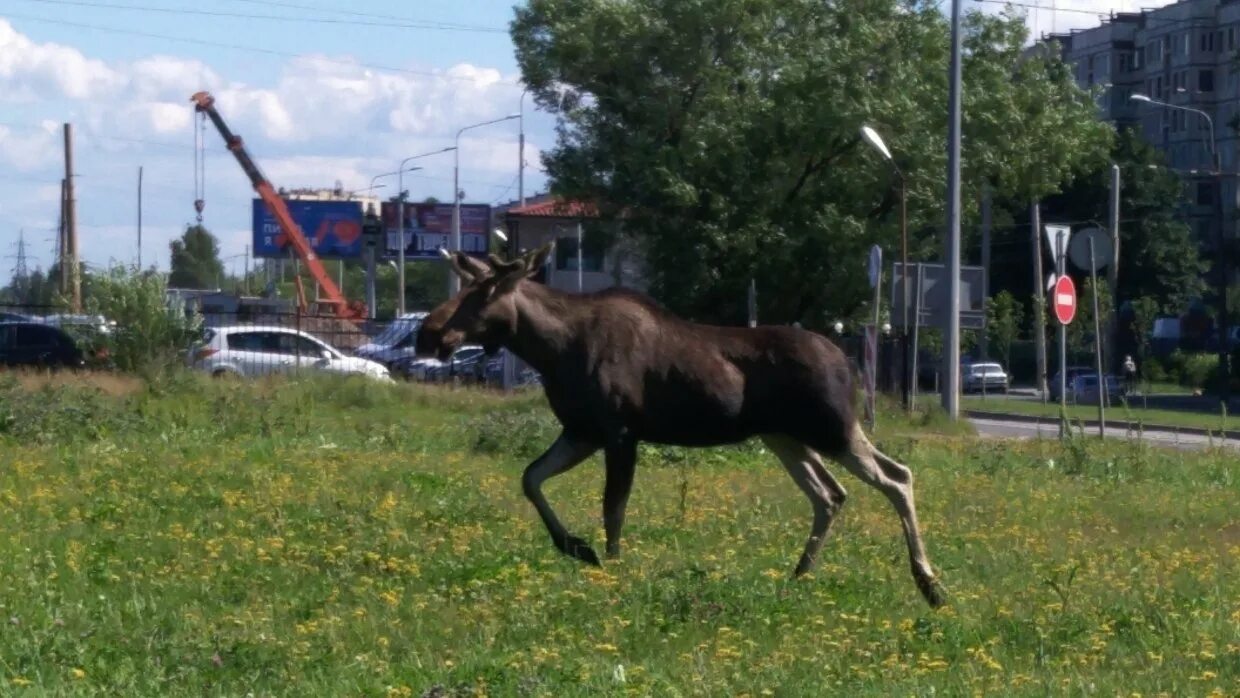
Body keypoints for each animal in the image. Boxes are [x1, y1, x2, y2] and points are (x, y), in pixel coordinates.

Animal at [421, 244, 942, 607]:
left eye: (485, 292)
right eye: (462, 287)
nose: (429, 332)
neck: (550, 351)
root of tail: (848, 361)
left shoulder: (619, 431)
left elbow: (613, 508)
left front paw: (612, 568)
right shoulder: (581, 431)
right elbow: (531, 478)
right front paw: (576, 546)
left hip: (831, 427)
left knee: (897, 476)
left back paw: (930, 584)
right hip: (785, 438)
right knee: (830, 494)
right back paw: (800, 574)